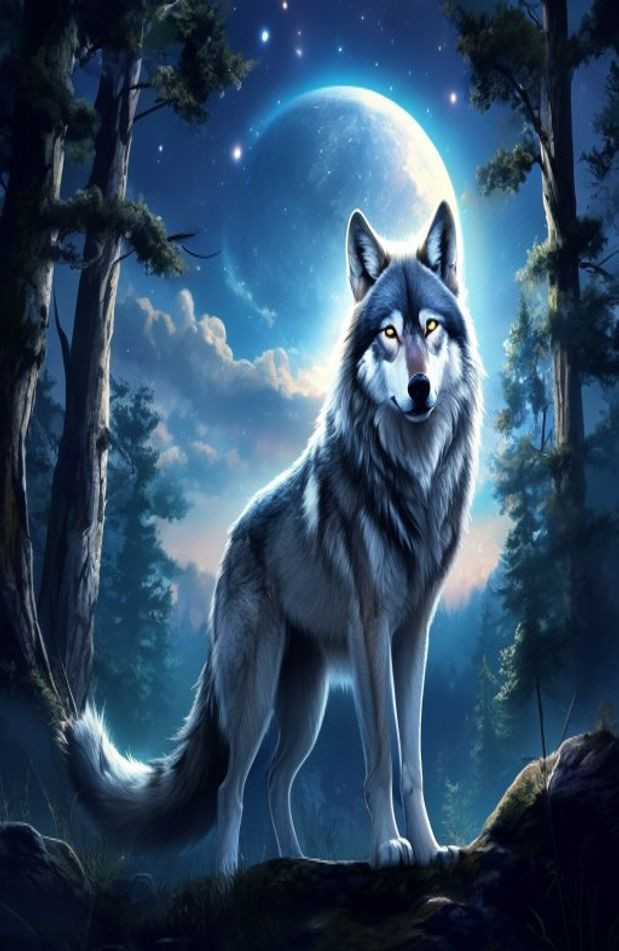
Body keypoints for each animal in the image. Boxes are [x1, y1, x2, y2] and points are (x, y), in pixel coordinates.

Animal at [65, 200, 482, 874]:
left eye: (430, 326)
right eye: (389, 334)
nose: (419, 389)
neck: (412, 478)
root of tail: (232, 538)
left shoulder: (414, 635)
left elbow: (411, 762)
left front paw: (427, 846)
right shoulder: (372, 631)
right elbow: (380, 758)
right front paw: (388, 847)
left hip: (304, 708)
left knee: (275, 782)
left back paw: (299, 861)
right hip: (254, 698)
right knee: (231, 790)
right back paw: (227, 878)